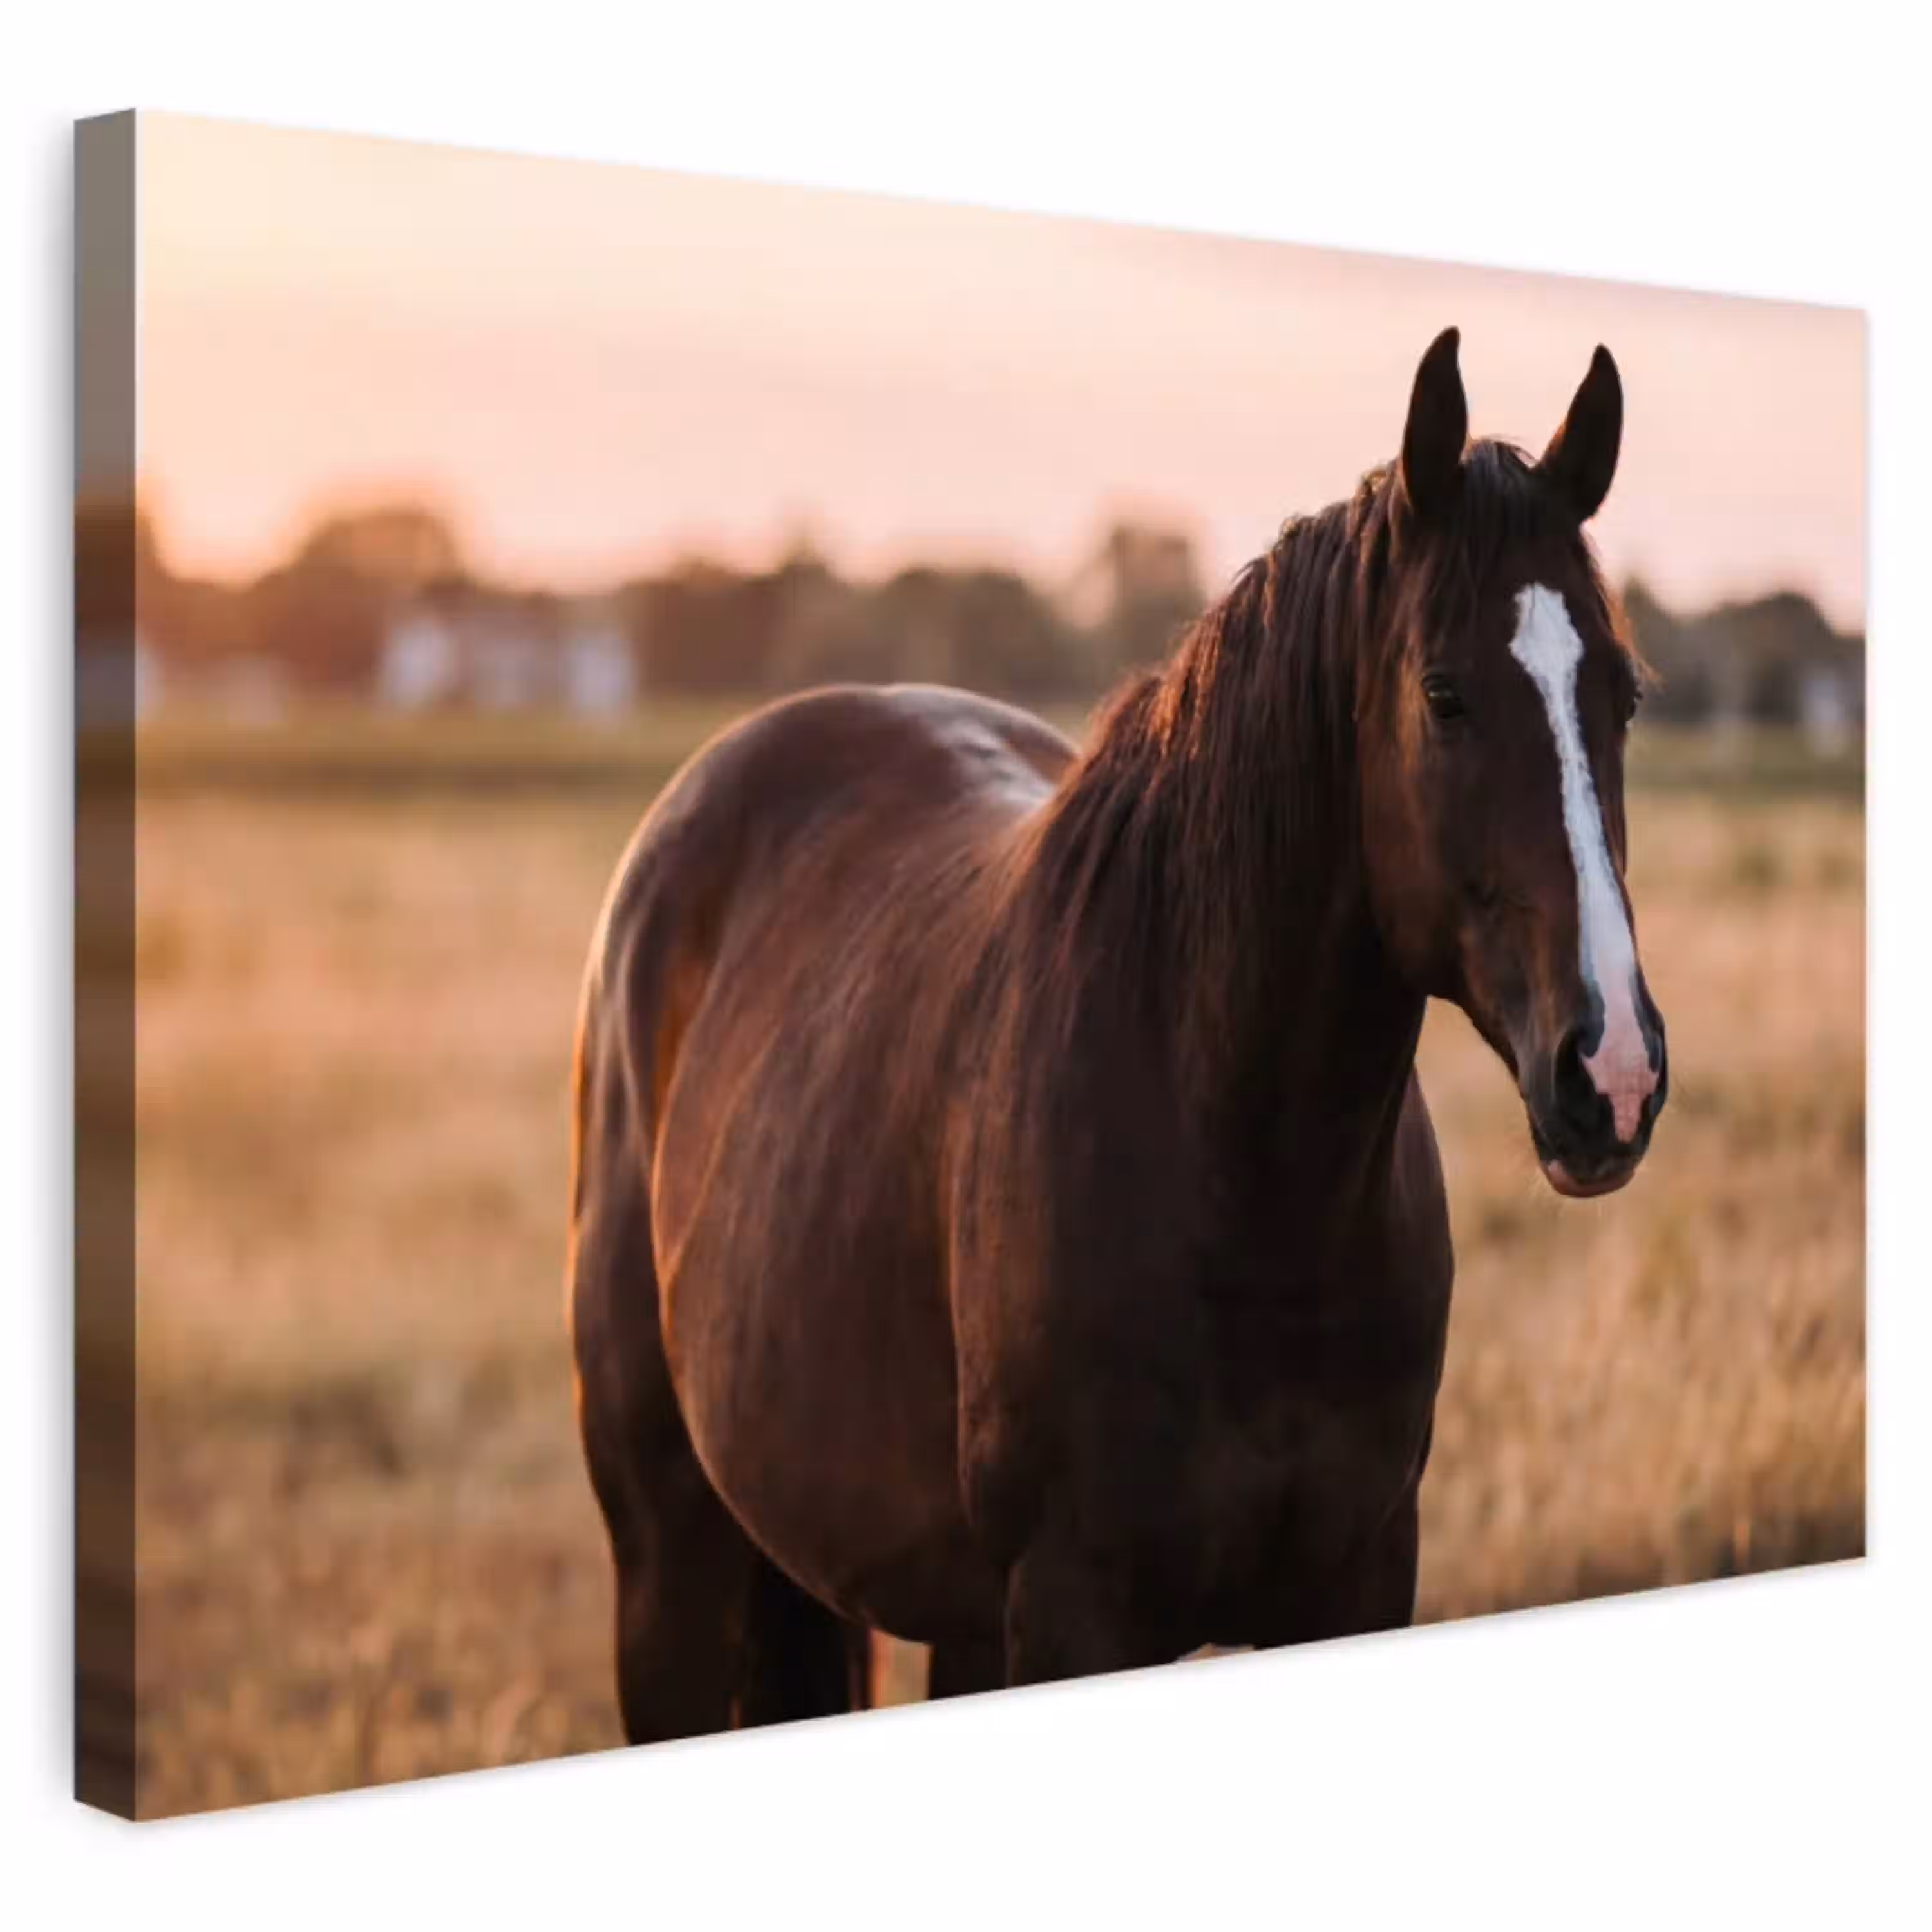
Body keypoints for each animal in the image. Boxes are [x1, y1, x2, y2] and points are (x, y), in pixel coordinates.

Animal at [566, 328, 1669, 1740]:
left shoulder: (1358, 1579)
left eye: (1621, 696)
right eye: (1444, 694)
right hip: (671, 1566)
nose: (1613, 1073)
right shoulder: (1074, 1609)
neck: (1245, 1190)